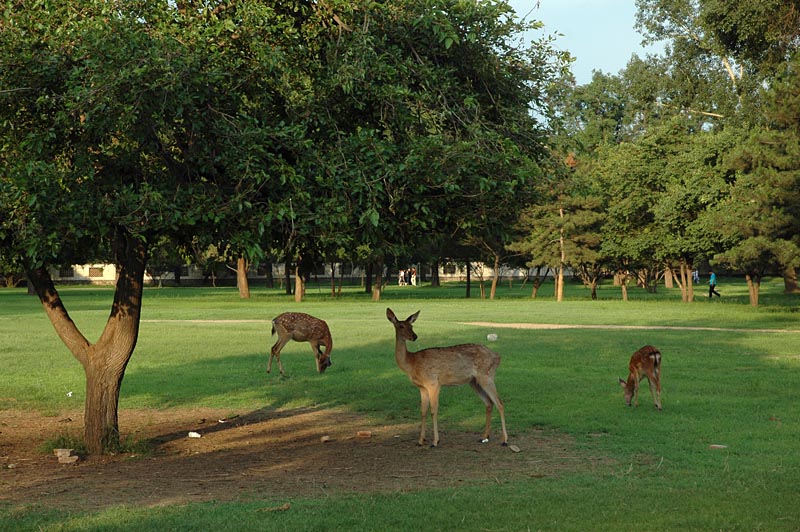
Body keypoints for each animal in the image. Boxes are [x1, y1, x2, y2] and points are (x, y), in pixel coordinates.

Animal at [386, 308, 510, 448]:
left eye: (411, 326)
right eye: (401, 326)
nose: (414, 336)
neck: (412, 363)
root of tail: (498, 356)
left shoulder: (433, 383)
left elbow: (433, 410)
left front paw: (435, 442)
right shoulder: (422, 387)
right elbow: (423, 411)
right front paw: (420, 441)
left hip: (487, 376)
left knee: (499, 403)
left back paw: (504, 440)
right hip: (474, 382)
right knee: (489, 403)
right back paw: (484, 437)